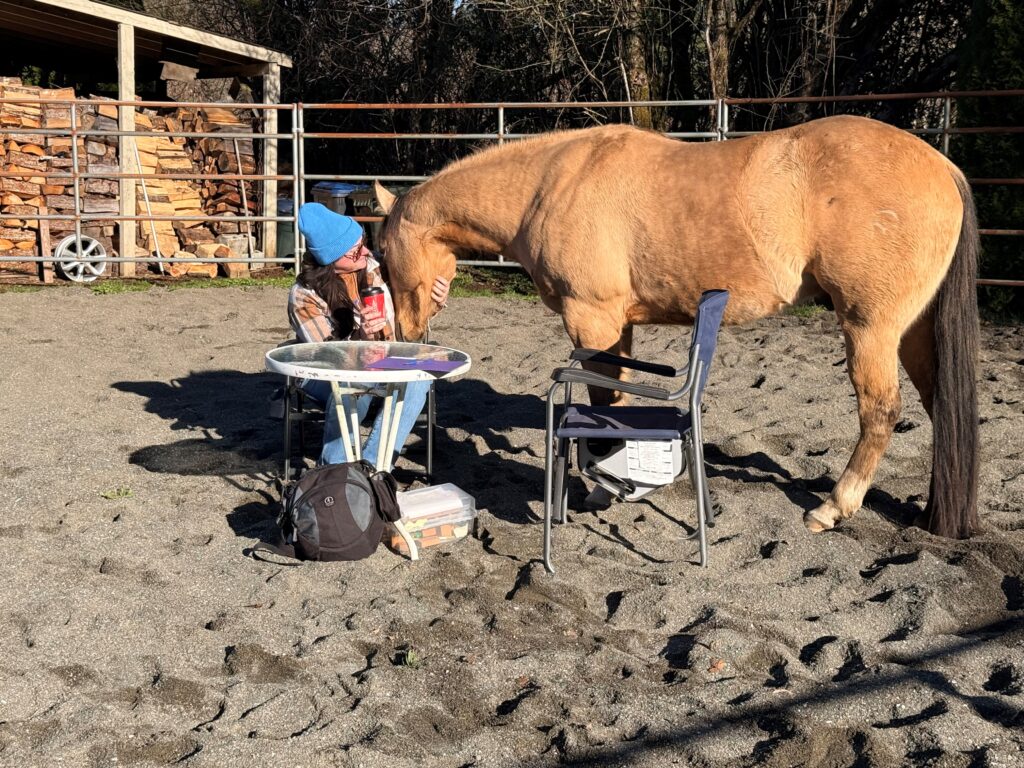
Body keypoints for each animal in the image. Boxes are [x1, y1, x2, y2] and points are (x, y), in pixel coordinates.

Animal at [374, 115, 980, 540]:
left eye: (382, 252)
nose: (396, 337)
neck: (549, 185)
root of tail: (943, 167)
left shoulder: (591, 318)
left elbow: (603, 400)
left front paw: (603, 490)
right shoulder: (616, 325)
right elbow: (615, 401)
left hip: (869, 327)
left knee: (881, 411)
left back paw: (833, 507)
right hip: (913, 333)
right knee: (939, 408)